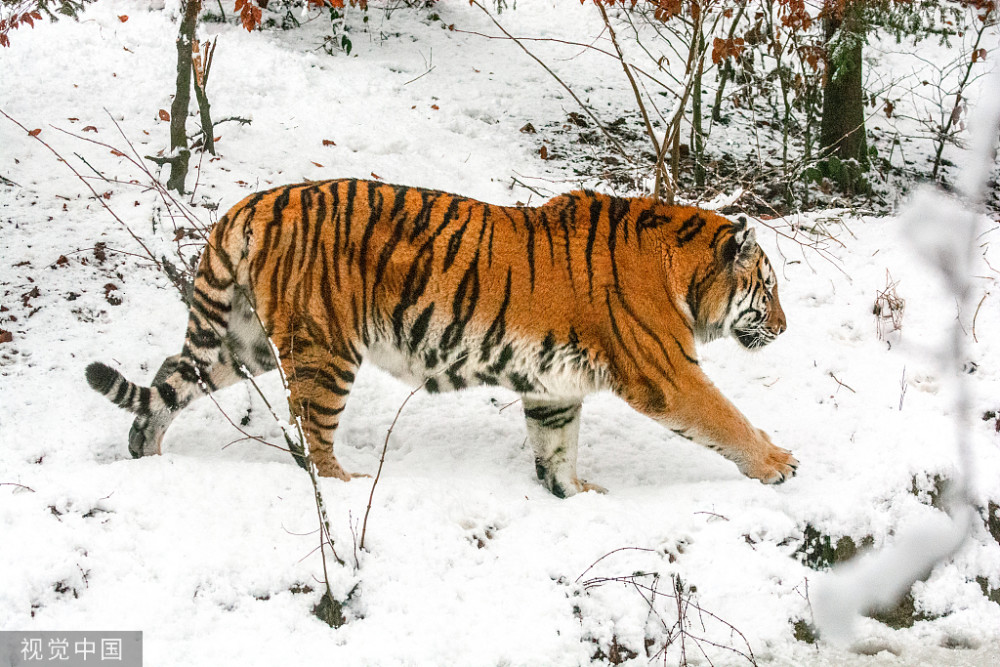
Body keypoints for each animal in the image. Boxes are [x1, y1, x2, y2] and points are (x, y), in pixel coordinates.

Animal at [90, 180, 800, 498]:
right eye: (767, 287)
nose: (786, 327)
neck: (681, 270)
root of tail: (252, 203)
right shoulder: (666, 372)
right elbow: (725, 416)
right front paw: (778, 463)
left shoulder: (553, 387)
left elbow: (556, 447)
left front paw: (573, 495)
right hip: (324, 351)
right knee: (312, 432)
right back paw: (345, 484)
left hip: (243, 342)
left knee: (169, 378)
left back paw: (145, 452)